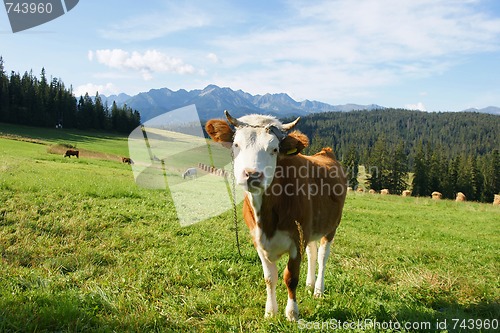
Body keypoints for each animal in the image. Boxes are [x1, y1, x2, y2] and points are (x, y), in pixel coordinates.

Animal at [205, 111, 346, 320]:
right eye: (236, 145)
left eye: (274, 149)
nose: (252, 174)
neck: (266, 219)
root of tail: (325, 152)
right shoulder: (259, 240)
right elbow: (270, 278)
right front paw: (271, 311)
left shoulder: (297, 239)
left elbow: (291, 278)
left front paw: (292, 313)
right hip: (311, 228)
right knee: (312, 252)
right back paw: (310, 284)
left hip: (331, 227)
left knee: (322, 256)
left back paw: (318, 290)